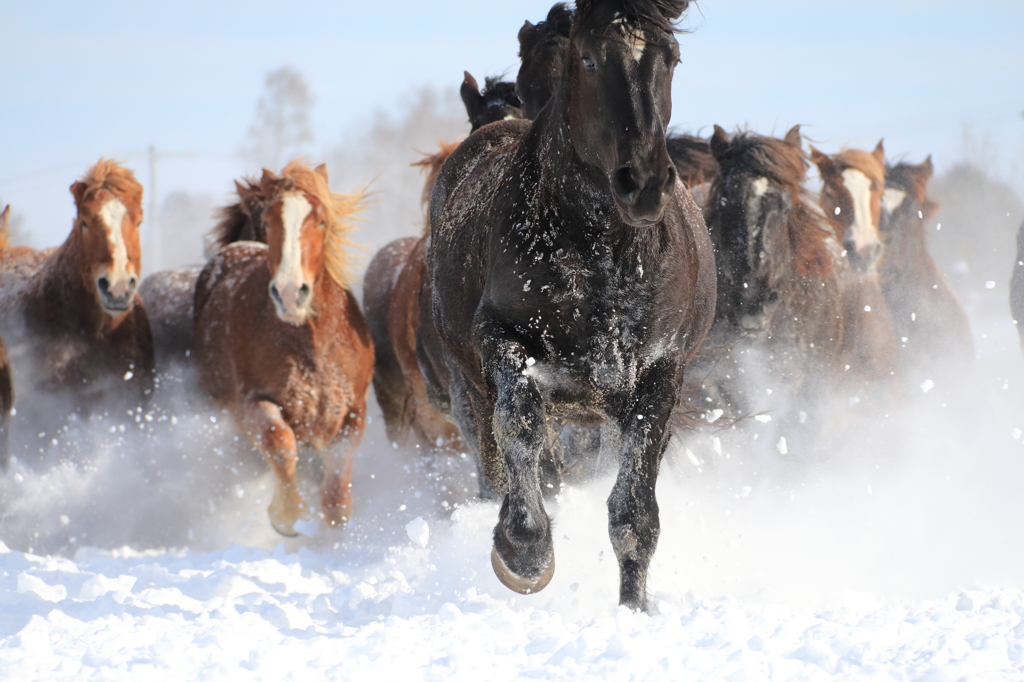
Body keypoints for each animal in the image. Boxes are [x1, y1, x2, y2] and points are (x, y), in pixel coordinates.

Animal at [191, 157, 372, 532]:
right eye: (268, 221)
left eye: (320, 219)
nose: (289, 292)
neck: (313, 343)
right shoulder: (255, 402)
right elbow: (280, 443)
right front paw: (288, 517)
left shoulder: (353, 411)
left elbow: (337, 493)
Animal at [419, 0, 716, 606]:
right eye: (591, 57)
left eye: (671, 57)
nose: (643, 183)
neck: (600, 252)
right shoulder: (502, 341)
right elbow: (520, 427)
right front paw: (524, 550)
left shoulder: (660, 374)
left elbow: (633, 509)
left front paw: (633, 609)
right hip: (473, 381)